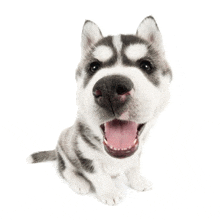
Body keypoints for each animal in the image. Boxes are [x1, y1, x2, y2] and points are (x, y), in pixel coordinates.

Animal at [27, 16, 172, 205]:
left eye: (146, 65)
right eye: (93, 67)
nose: (109, 88)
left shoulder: (136, 153)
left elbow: (133, 167)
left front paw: (138, 181)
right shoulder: (83, 154)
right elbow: (99, 176)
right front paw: (109, 193)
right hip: (63, 149)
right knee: (65, 170)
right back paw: (78, 182)